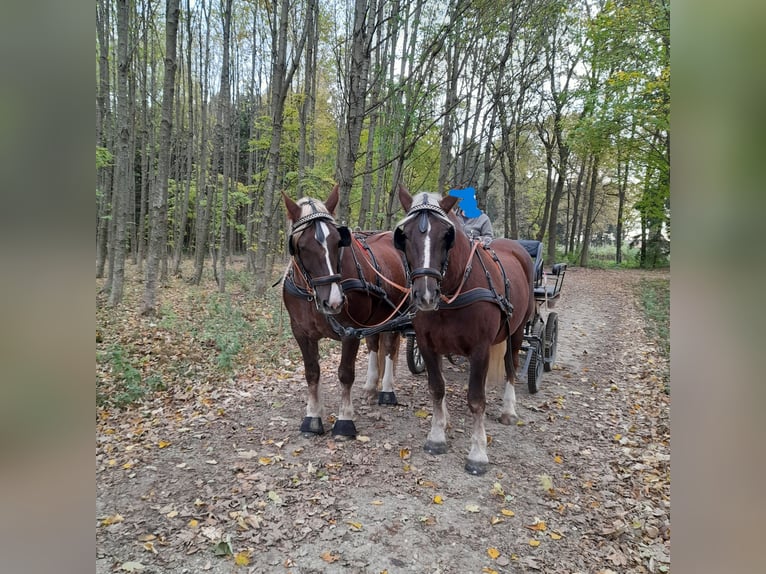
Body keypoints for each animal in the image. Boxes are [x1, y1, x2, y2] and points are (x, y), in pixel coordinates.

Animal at [282, 184, 412, 440]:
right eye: (301, 246)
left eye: (337, 241)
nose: (333, 301)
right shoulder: (301, 332)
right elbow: (312, 372)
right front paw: (312, 417)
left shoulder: (350, 331)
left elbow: (345, 373)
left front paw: (344, 421)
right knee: (374, 344)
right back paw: (371, 387)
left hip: (397, 315)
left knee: (389, 348)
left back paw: (387, 391)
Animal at [396, 189, 536, 476]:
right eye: (405, 235)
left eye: (446, 235)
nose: (425, 295)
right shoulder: (427, 344)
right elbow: (437, 388)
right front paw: (438, 435)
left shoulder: (480, 349)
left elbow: (476, 399)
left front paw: (478, 453)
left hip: (516, 331)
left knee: (512, 366)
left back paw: (508, 409)